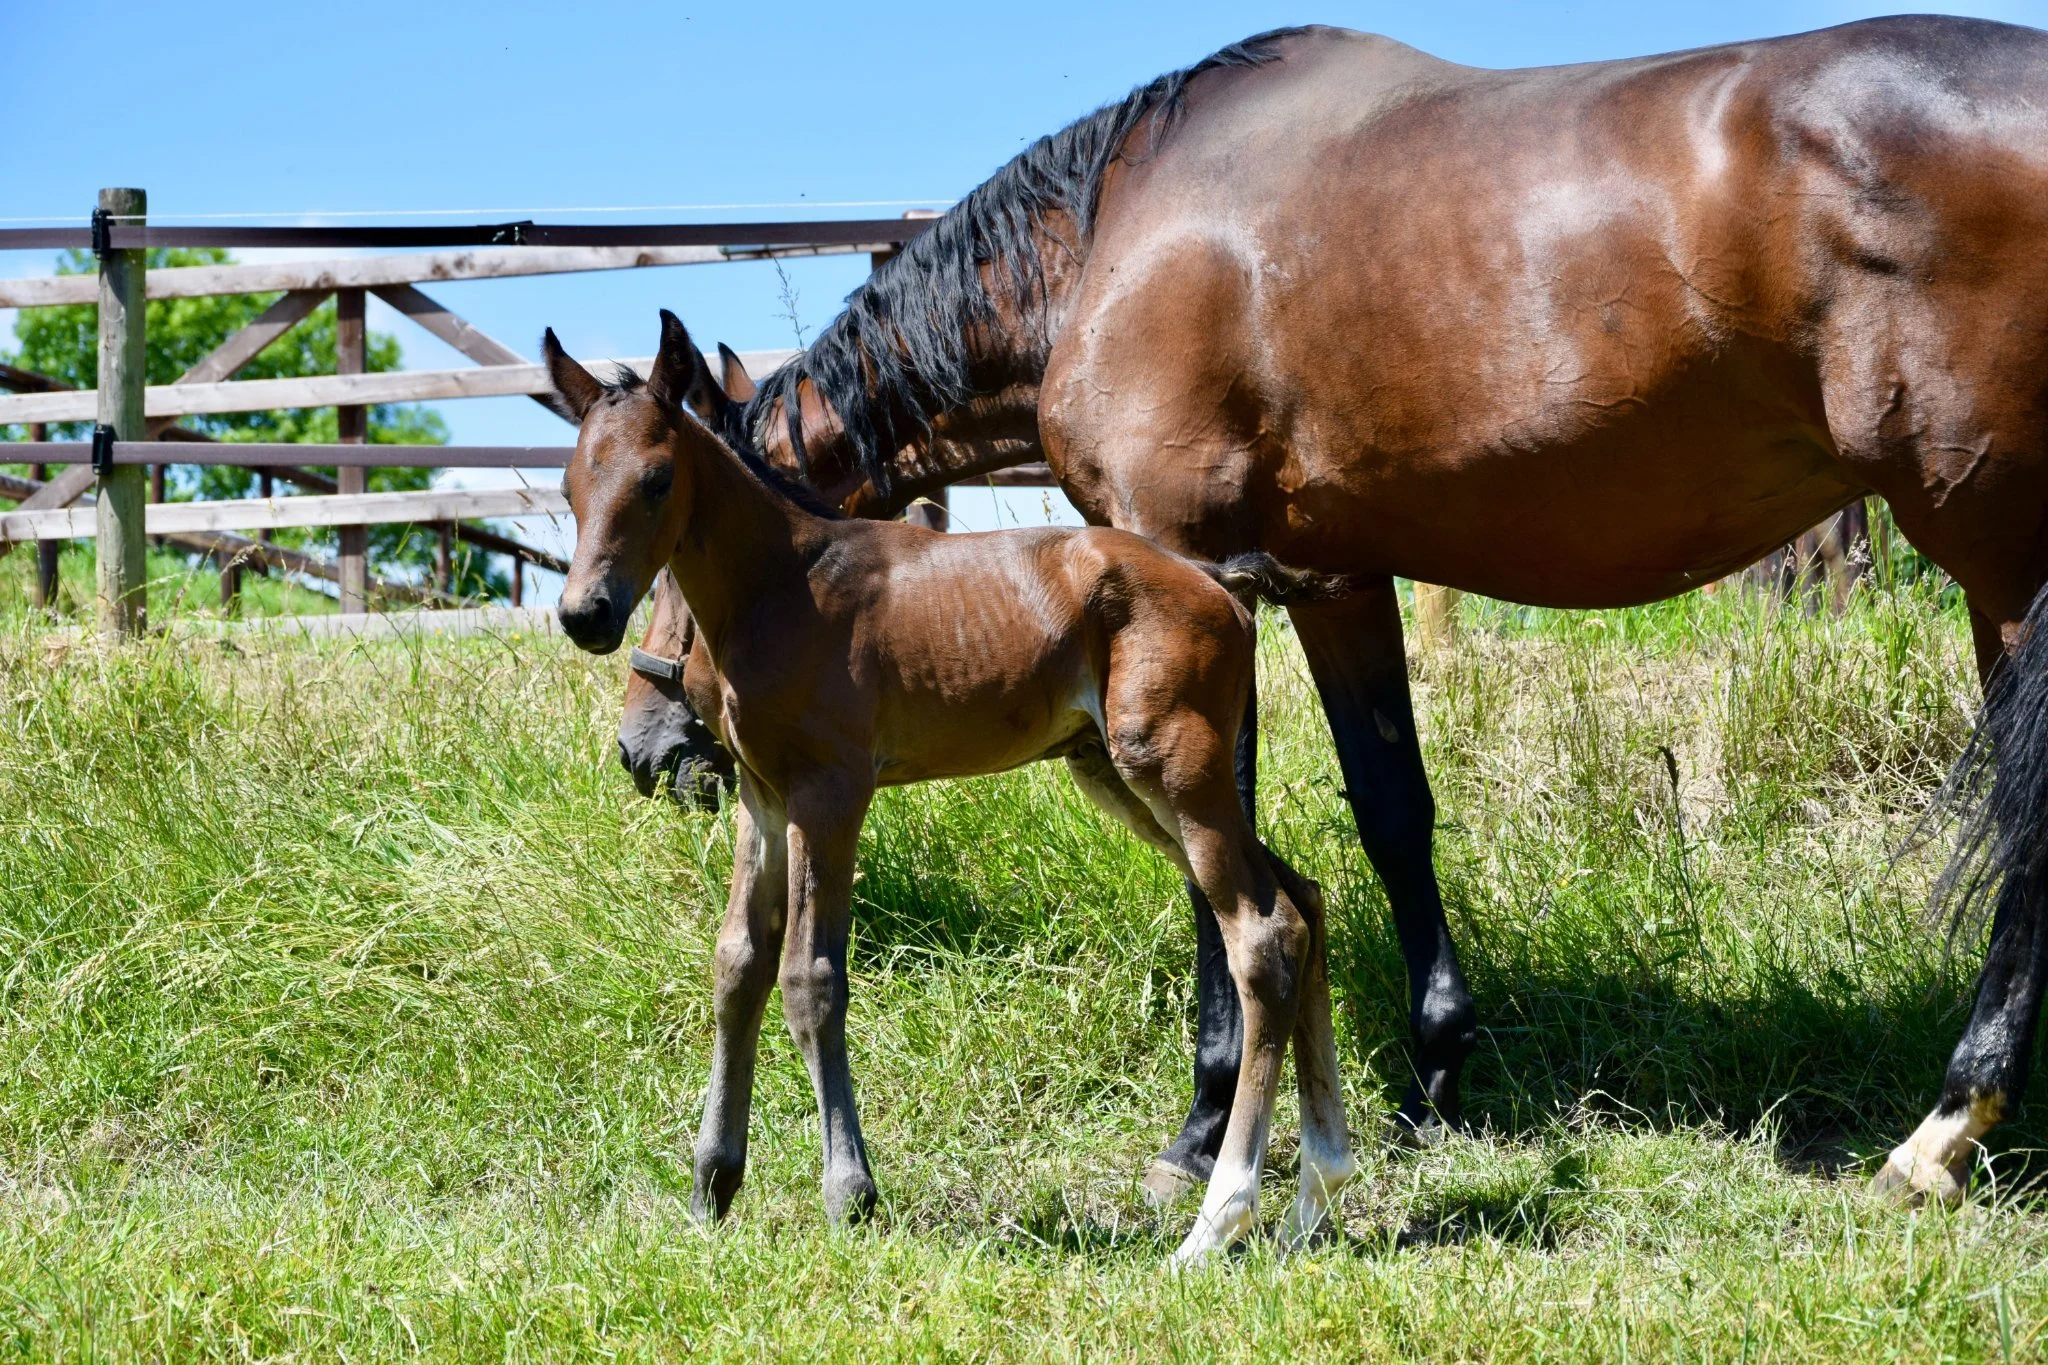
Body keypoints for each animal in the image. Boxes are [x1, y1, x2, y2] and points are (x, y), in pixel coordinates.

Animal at [551, 311, 1355, 1261]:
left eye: (657, 478)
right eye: (570, 484)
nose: (586, 614)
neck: (784, 581)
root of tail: (1221, 581)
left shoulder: (830, 792)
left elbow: (809, 977)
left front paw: (851, 1194)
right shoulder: (763, 796)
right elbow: (737, 964)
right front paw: (712, 1182)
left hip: (1174, 765)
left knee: (1262, 935)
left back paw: (1217, 1220)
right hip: (1120, 774)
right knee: (1302, 898)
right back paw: (1317, 1191)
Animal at [617, 16, 2048, 1206]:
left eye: (678, 525)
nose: (644, 742)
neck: (1112, 232)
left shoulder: (1184, 571)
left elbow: (1226, 860)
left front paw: (1201, 1127)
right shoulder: (1339, 582)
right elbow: (1390, 807)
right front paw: (1435, 1073)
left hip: (2000, 570)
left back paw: (1941, 1132)